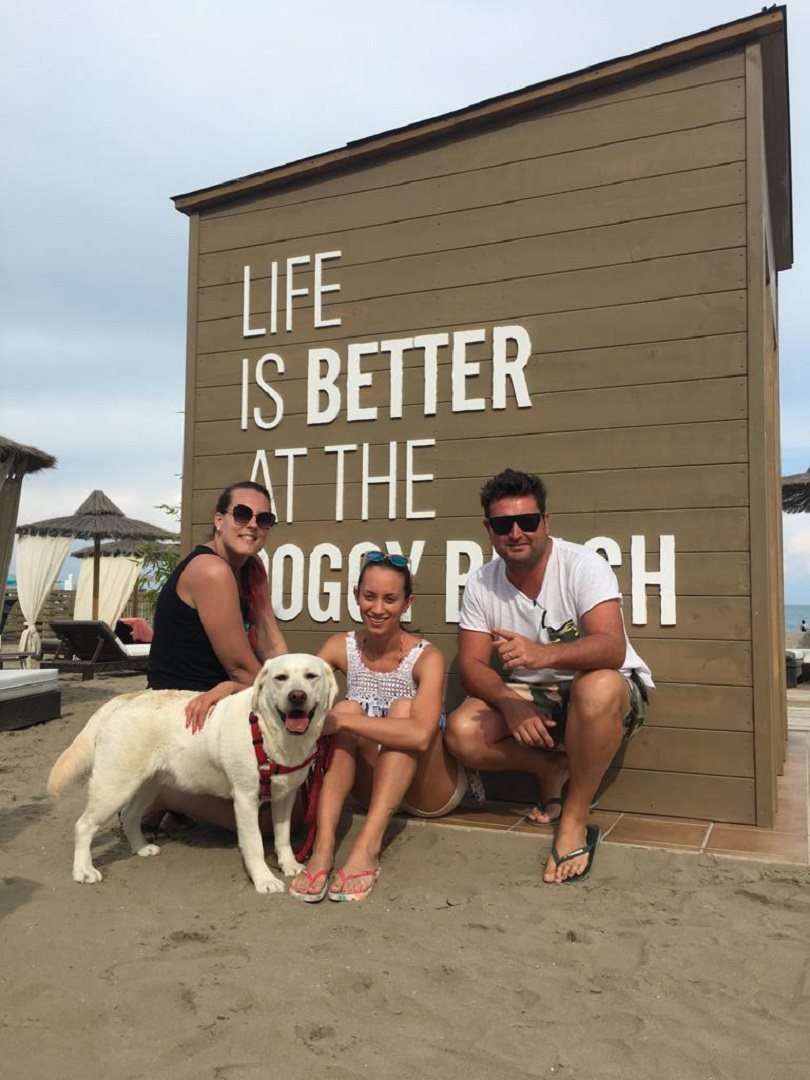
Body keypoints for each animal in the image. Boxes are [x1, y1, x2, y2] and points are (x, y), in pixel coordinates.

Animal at [47, 654, 337, 894]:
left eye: (311, 676)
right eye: (281, 678)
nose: (297, 696)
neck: (268, 734)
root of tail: (128, 698)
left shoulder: (285, 796)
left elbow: (283, 836)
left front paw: (290, 864)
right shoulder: (246, 799)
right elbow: (254, 842)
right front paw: (264, 880)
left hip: (148, 784)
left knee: (129, 815)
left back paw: (140, 847)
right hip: (114, 785)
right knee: (84, 825)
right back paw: (83, 871)